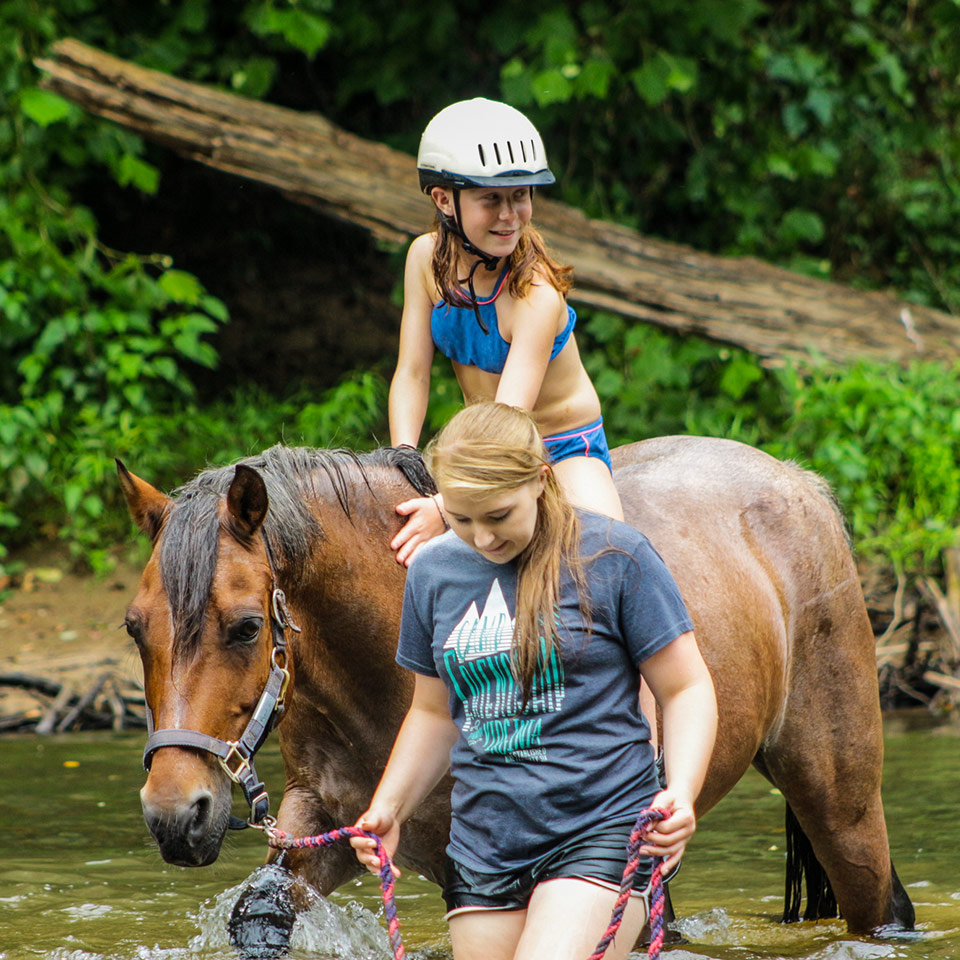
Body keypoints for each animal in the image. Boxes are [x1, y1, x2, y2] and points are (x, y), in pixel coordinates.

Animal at [118, 438, 916, 948]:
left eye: (247, 626)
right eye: (134, 626)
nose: (174, 814)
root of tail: (801, 483)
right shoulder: (334, 821)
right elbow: (261, 910)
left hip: (841, 807)